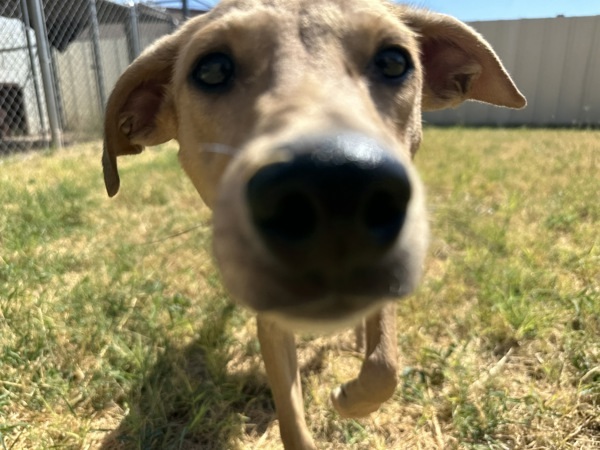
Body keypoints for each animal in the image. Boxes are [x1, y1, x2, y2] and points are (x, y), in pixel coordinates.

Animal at [102, 1, 524, 448]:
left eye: (394, 61)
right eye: (212, 69)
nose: (336, 186)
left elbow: (384, 364)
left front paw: (350, 396)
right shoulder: (271, 321)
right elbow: (292, 418)